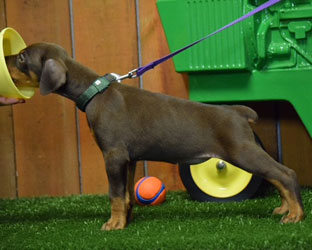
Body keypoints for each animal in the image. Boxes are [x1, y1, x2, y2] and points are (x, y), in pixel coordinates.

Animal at [4, 43, 304, 230]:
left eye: (22, 57)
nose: (4, 58)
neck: (93, 92)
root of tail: (238, 112)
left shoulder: (113, 155)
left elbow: (114, 194)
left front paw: (113, 225)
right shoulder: (129, 159)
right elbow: (126, 194)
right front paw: (126, 221)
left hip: (241, 152)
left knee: (286, 173)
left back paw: (296, 215)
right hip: (245, 151)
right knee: (276, 176)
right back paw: (284, 209)